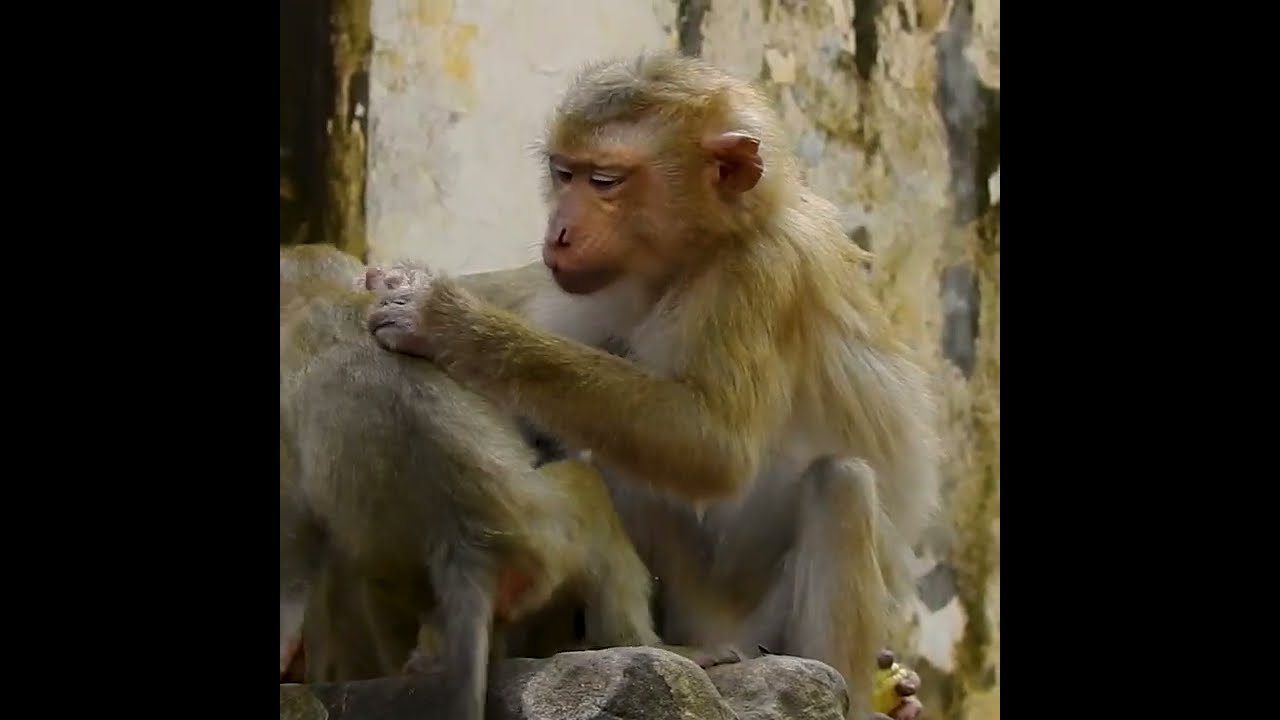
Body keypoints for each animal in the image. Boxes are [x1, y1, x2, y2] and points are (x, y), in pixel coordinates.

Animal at [361, 52, 937, 720]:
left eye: (605, 182)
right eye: (564, 173)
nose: (559, 231)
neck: (700, 253)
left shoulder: (759, 274)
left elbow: (714, 448)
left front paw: (451, 321)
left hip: (754, 630)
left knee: (838, 484)